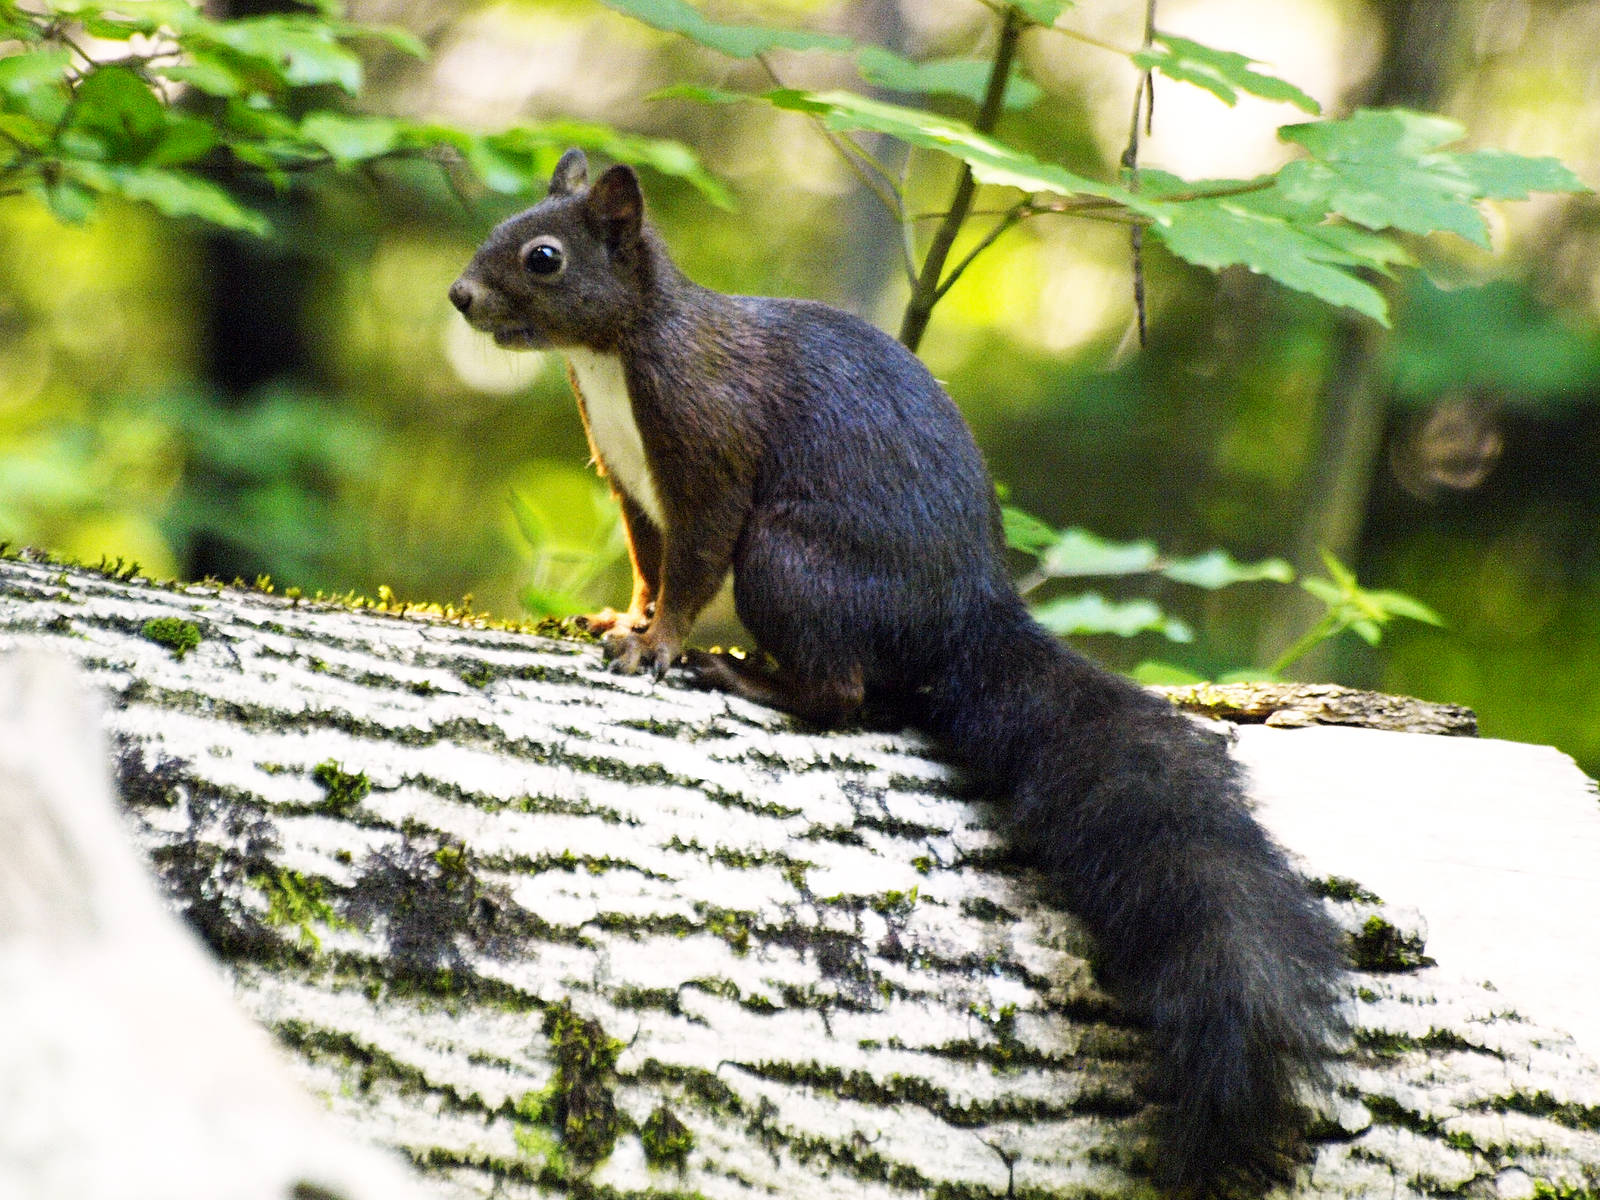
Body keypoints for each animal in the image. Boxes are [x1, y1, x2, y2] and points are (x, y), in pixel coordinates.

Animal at [449, 148, 1346, 1196]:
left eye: (544, 257)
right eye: (506, 227)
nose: (462, 295)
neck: (613, 355)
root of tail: (967, 612)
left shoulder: (708, 447)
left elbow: (693, 563)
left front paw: (659, 642)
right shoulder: (630, 482)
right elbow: (647, 559)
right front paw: (620, 617)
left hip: (790, 560)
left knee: (844, 694)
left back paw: (754, 678)